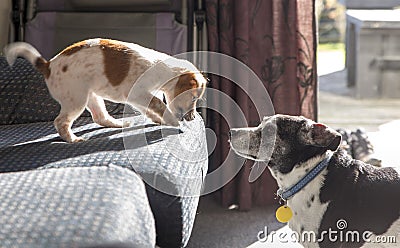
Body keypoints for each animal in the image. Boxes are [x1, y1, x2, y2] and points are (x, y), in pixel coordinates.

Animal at [3, 39, 206, 143]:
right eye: (194, 98)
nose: (193, 118)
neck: (162, 68)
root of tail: (48, 65)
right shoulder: (139, 93)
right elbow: (159, 105)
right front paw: (172, 121)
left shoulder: (140, 97)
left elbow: (152, 108)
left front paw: (160, 120)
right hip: (77, 101)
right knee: (61, 122)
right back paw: (73, 139)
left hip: (92, 97)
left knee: (99, 117)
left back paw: (118, 124)